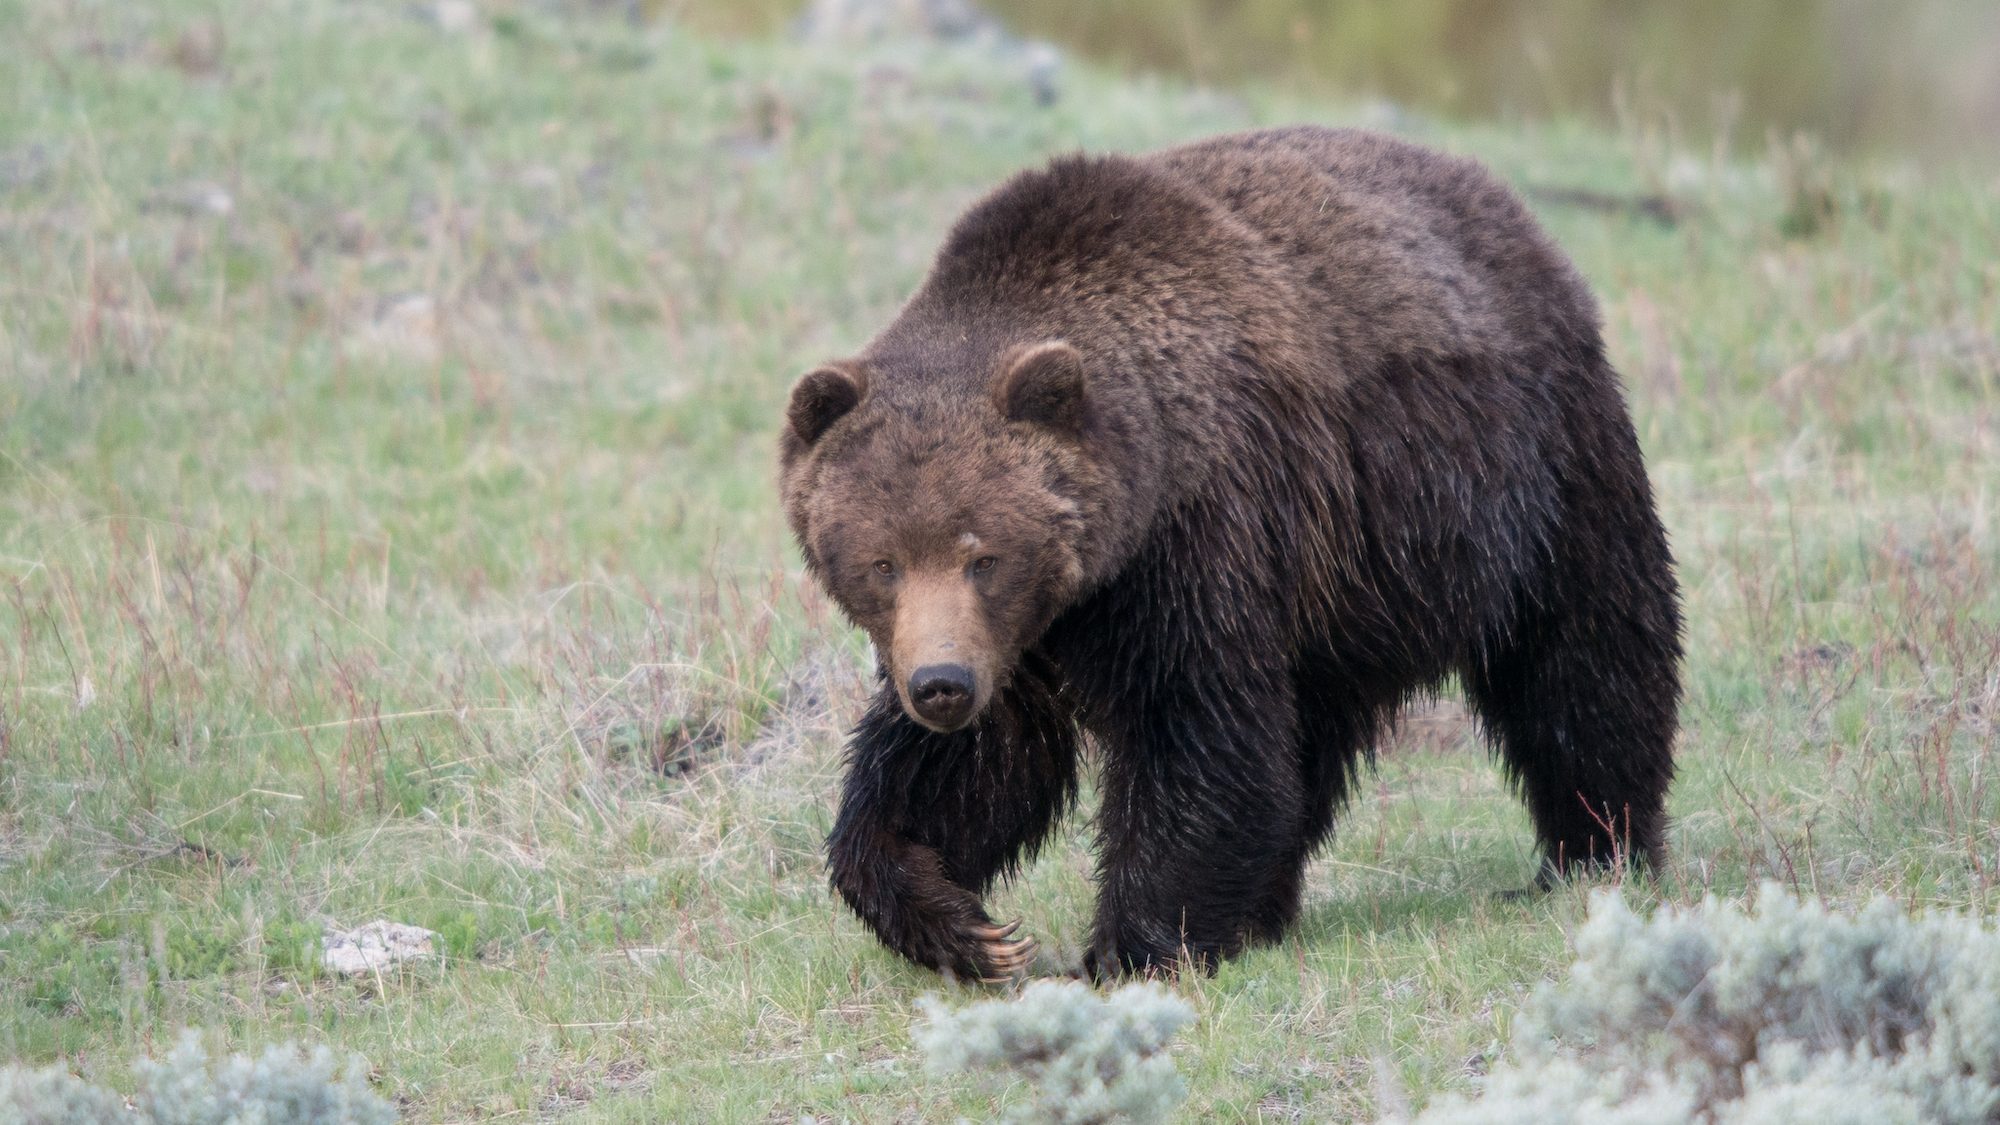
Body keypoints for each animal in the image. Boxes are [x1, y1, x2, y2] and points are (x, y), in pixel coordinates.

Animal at [772, 122, 1680, 976]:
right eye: (882, 562)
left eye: (984, 554)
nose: (942, 685)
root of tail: (1506, 202)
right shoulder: (1028, 638)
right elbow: (978, 765)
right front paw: (962, 922)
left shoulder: (1201, 534)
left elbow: (1195, 733)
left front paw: (1128, 947)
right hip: (1343, 590)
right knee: (1314, 731)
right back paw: (1268, 905)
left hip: (1529, 471)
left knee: (1585, 660)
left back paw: (1594, 847)